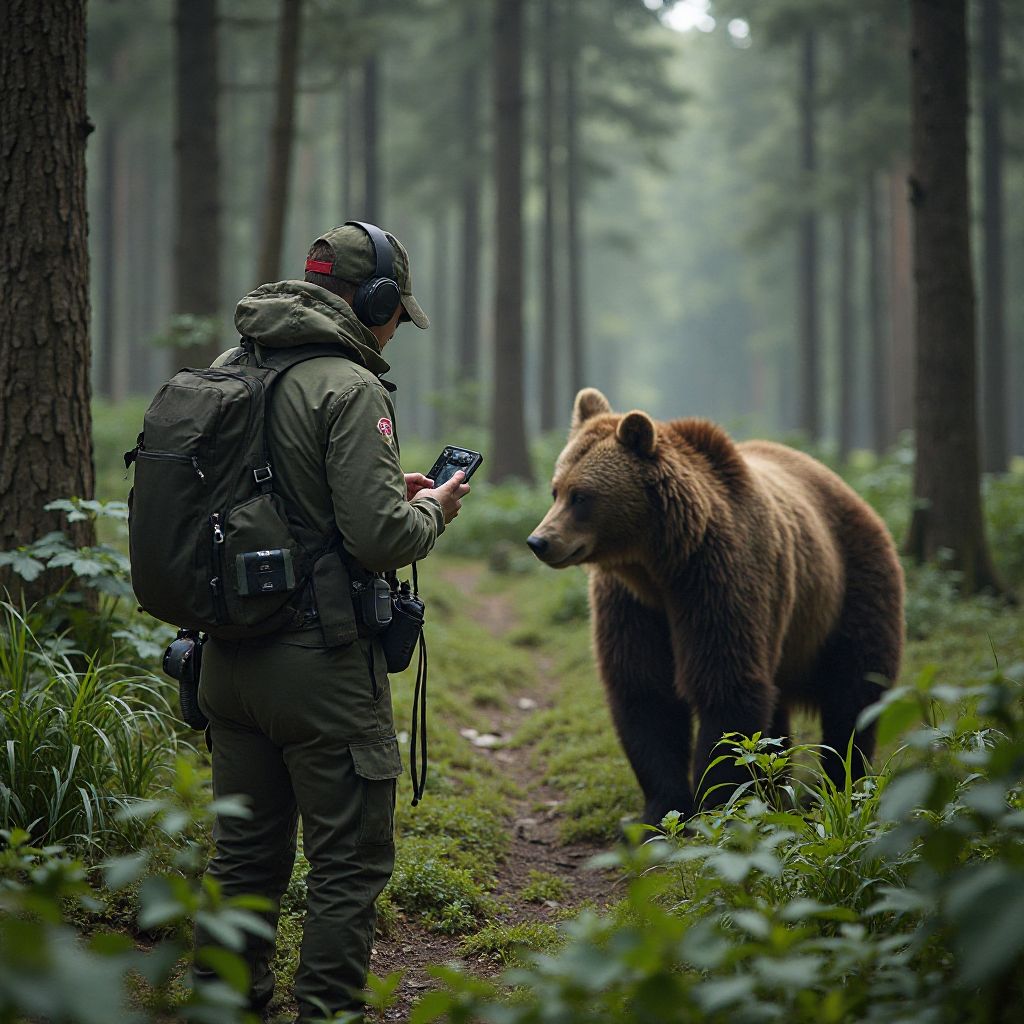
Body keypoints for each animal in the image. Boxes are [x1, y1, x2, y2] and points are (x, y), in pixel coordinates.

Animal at [527, 388, 904, 824]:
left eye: (581, 496)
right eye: (555, 490)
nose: (539, 541)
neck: (657, 564)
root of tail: (847, 487)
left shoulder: (718, 578)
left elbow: (725, 685)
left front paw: (716, 805)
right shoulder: (630, 604)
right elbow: (645, 690)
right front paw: (662, 808)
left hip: (848, 591)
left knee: (855, 695)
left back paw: (844, 783)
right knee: (778, 706)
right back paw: (778, 790)